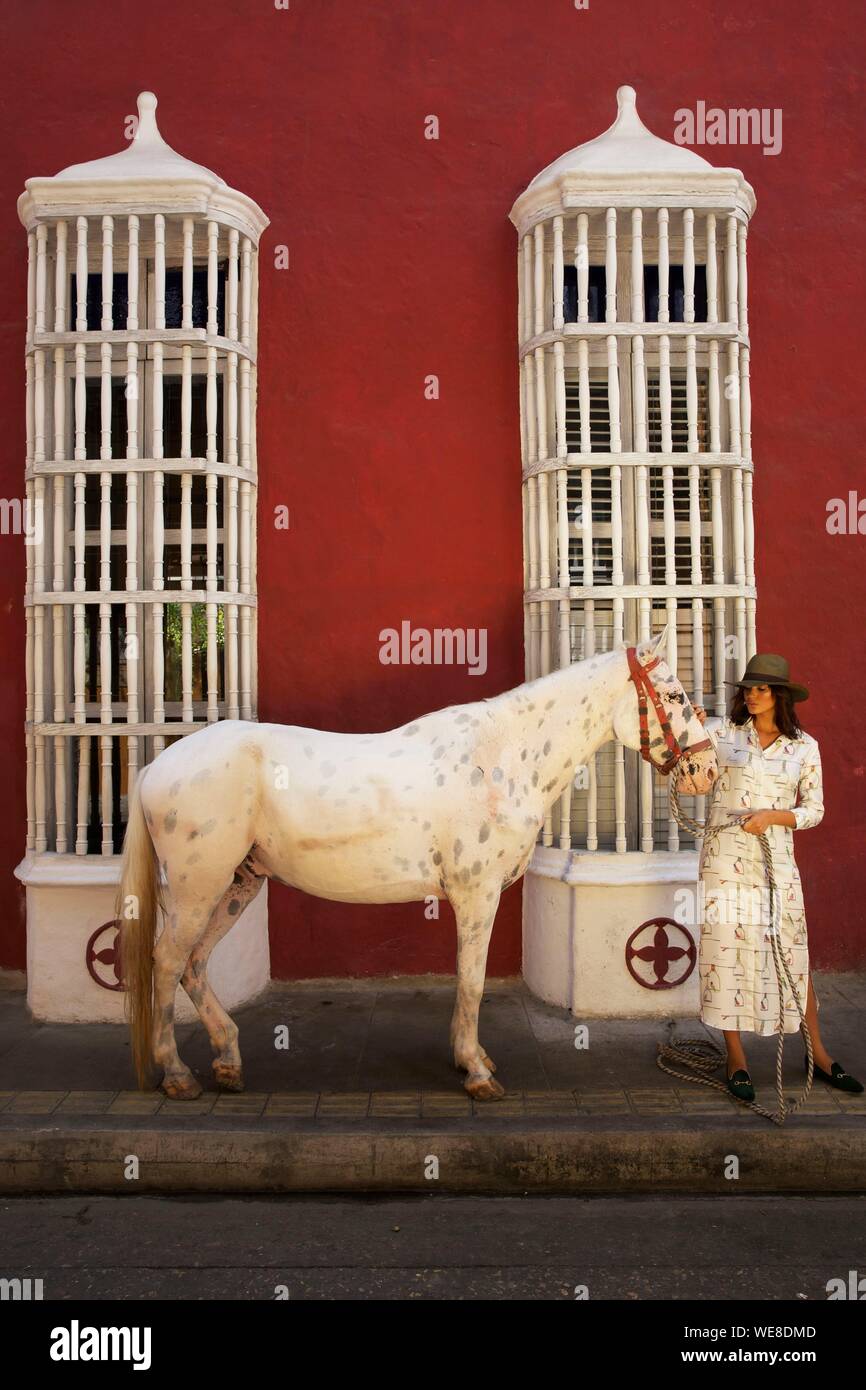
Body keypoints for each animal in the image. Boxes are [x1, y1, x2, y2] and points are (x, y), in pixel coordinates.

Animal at [120, 628, 717, 1095]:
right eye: (674, 693)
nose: (707, 770)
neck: (501, 757)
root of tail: (156, 768)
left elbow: (466, 979)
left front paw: (467, 1057)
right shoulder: (478, 894)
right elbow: (472, 979)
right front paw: (476, 1070)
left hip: (236, 884)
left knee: (194, 965)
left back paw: (227, 1059)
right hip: (197, 887)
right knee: (168, 962)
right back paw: (177, 1074)